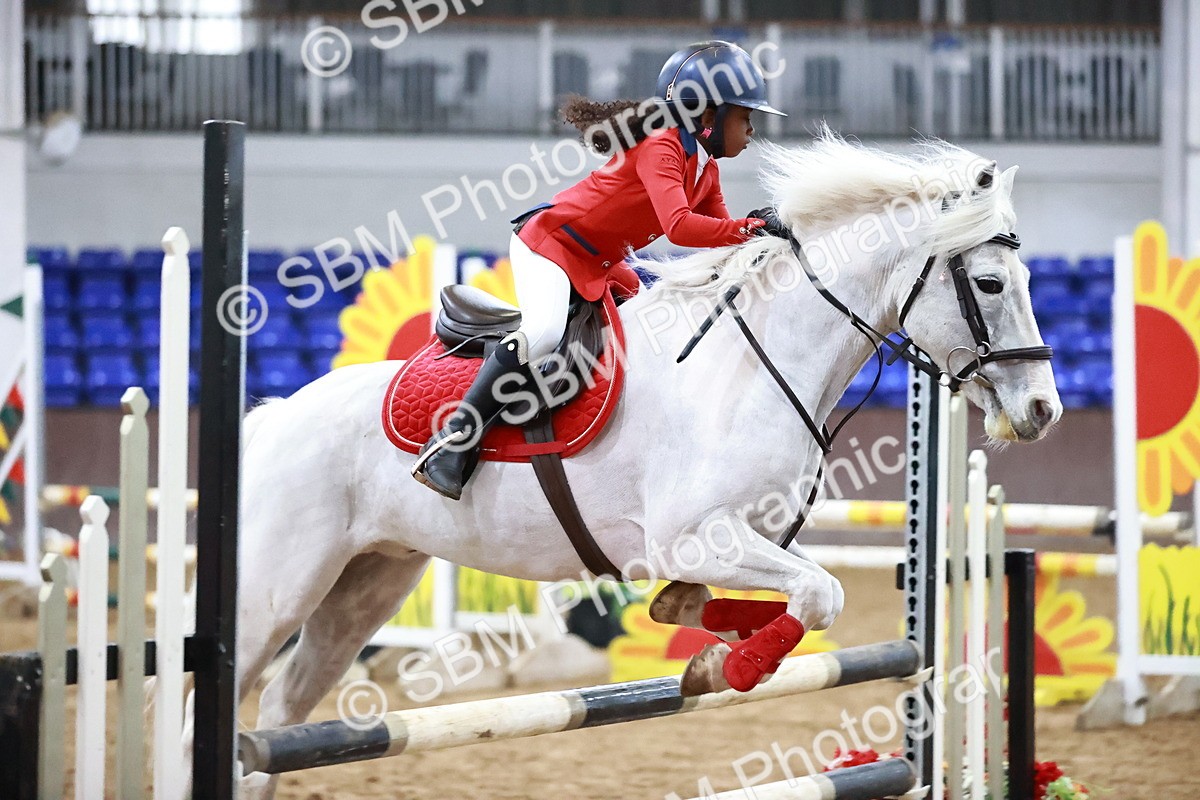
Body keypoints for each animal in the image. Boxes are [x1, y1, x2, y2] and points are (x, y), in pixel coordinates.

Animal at [181, 131, 1061, 798]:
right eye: (989, 282)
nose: (1043, 411)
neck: (752, 366)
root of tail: (274, 415)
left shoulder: (742, 536)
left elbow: (780, 594)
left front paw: (700, 634)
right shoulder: (697, 535)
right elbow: (819, 594)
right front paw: (731, 666)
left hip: (368, 583)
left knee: (283, 709)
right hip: (277, 587)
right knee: (215, 705)